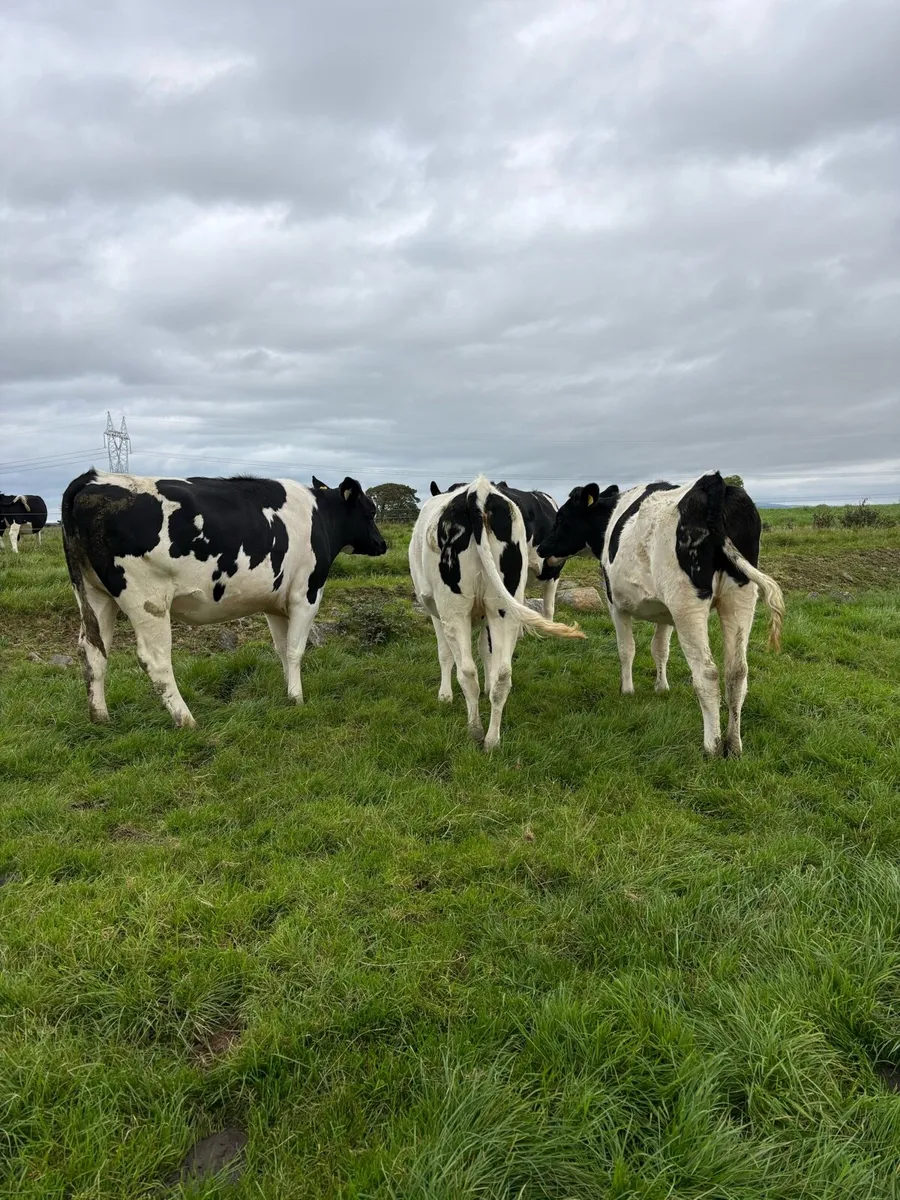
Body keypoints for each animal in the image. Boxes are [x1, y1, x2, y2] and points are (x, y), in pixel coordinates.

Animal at [61, 468, 387, 727]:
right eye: (370, 511)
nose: (383, 544)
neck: (319, 516)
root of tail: (93, 478)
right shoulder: (305, 594)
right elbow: (296, 651)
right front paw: (298, 698)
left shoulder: (275, 604)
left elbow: (282, 650)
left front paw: (287, 692)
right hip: (147, 599)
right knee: (155, 660)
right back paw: (186, 719)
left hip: (95, 595)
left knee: (92, 652)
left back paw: (100, 717)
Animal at [537, 471, 785, 758]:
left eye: (561, 517)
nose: (541, 548)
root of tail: (714, 482)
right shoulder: (667, 614)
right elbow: (660, 649)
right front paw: (661, 688)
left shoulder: (616, 604)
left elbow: (627, 649)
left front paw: (627, 690)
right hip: (740, 595)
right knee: (737, 672)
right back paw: (733, 745)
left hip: (686, 603)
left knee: (707, 673)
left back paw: (712, 746)